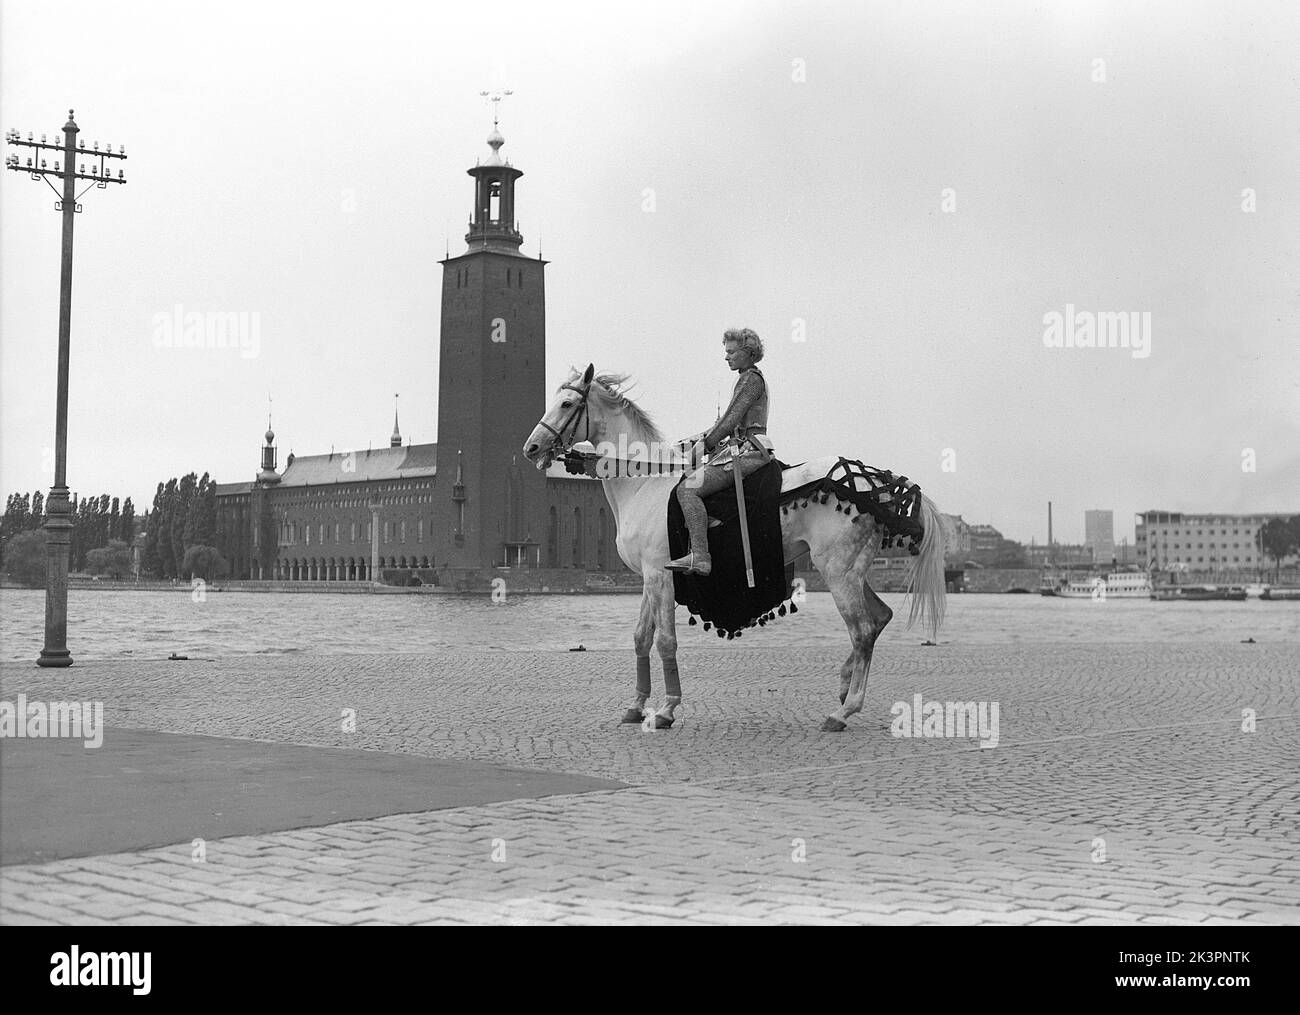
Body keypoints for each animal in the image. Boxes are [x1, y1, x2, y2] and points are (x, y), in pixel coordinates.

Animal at [520, 363, 946, 727]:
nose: (532, 448)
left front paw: (666, 710)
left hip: (836, 571)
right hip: (853, 570)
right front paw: (636, 706)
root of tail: (883, 487)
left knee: (861, 629)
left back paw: (844, 711)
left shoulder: (661, 575)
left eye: (567, 404)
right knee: (879, 618)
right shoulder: (648, 578)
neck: (646, 483)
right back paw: (844, 688)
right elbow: (641, 638)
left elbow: (665, 641)